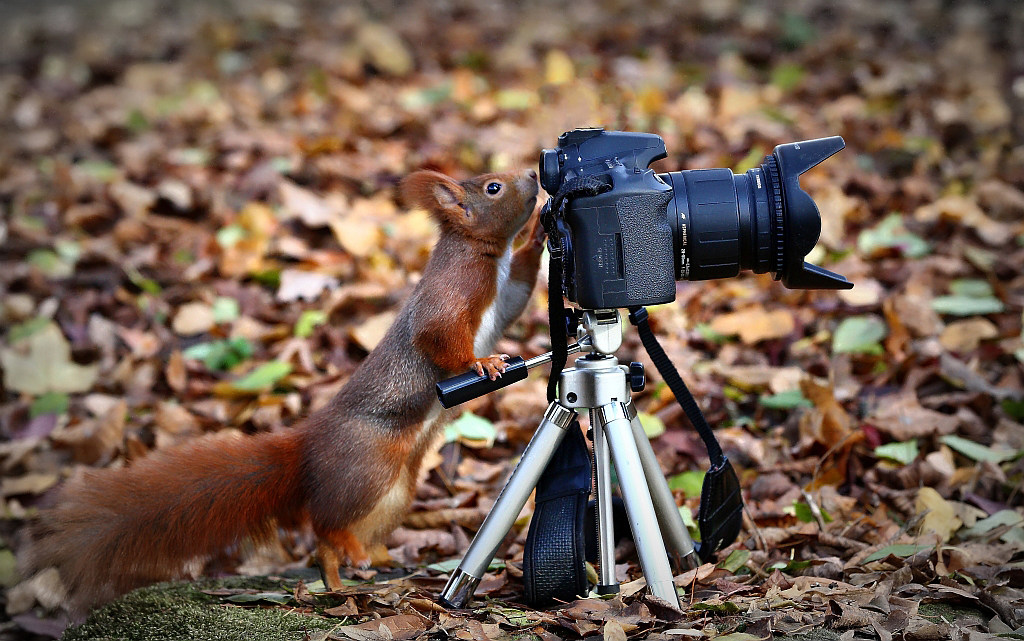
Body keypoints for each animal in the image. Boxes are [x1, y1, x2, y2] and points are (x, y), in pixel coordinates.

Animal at [22, 166, 544, 610]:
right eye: (494, 187)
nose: (535, 175)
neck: (484, 255)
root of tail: (309, 447)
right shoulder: (451, 293)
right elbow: (440, 336)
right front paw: (482, 362)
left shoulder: (503, 293)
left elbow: (518, 293)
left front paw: (539, 234)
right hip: (366, 468)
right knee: (326, 524)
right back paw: (348, 557)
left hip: (396, 491)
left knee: (332, 542)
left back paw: (359, 571)